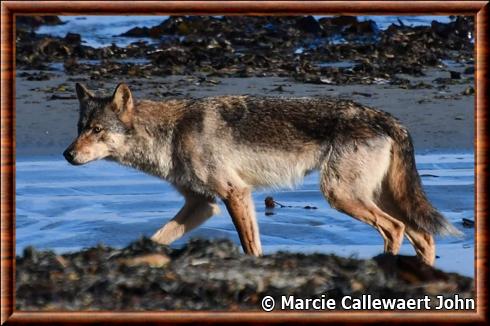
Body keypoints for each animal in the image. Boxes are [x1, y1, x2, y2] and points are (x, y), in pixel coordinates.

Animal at [64, 83, 460, 266]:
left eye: (97, 131)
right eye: (80, 128)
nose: (66, 155)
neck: (171, 133)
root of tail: (388, 118)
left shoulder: (234, 193)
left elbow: (250, 248)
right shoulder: (203, 205)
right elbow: (159, 237)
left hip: (342, 196)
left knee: (395, 229)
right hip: (376, 196)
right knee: (423, 235)